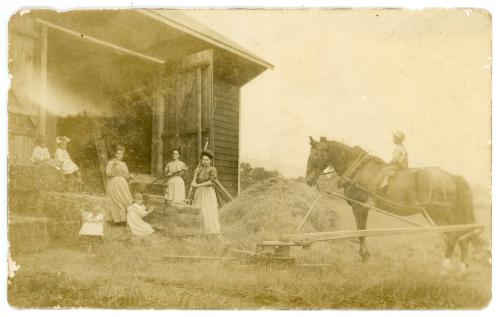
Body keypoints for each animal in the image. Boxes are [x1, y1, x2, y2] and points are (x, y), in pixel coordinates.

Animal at [304, 136, 476, 272]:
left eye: (315, 154)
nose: (308, 180)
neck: (358, 169)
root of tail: (451, 177)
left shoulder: (360, 207)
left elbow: (361, 232)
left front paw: (364, 257)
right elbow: (362, 232)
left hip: (440, 214)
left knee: (453, 236)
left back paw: (445, 267)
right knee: (462, 236)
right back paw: (462, 269)